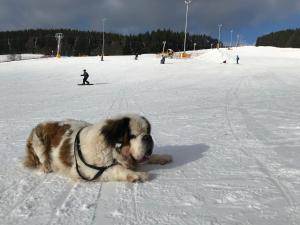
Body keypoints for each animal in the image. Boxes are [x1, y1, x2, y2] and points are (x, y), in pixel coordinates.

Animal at [22, 114, 172, 183]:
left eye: (148, 132)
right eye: (132, 136)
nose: (147, 137)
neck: (112, 148)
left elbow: (150, 158)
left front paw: (163, 157)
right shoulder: (87, 171)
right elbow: (116, 168)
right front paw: (138, 175)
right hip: (38, 140)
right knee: (42, 159)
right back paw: (46, 167)